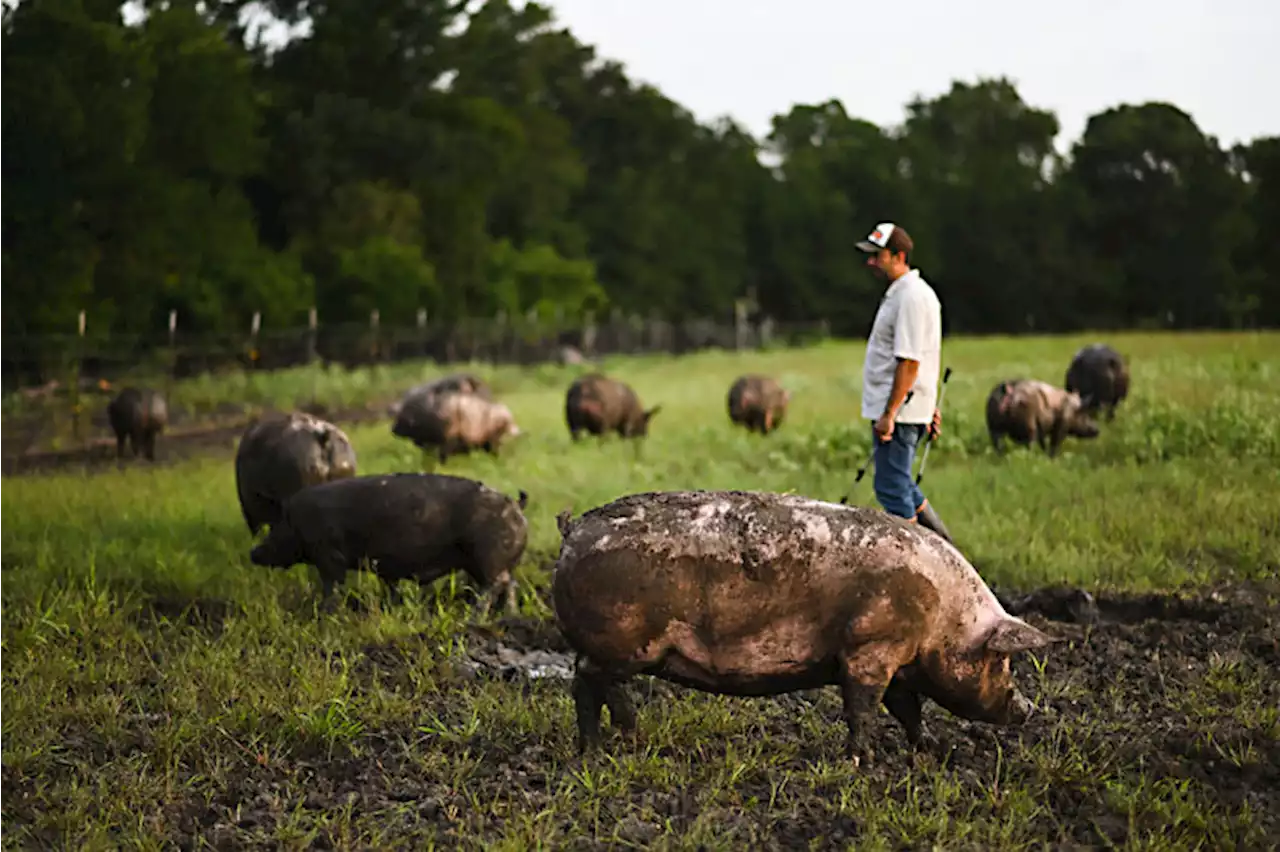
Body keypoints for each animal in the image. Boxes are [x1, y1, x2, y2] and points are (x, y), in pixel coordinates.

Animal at [247, 470, 527, 611]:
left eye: (276, 527)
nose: (253, 553)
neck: (299, 521)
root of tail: (515, 504)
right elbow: (389, 586)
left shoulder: (328, 554)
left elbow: (332, 585)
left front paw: (327, 612)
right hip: (483, 562)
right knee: (509, 585)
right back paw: (507, 616)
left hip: (487, 555)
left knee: (495, 585)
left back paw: (474, 616)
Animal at [552, 488, 1059, 757]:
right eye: (1002, 661)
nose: (1029, 708)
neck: (944, 618)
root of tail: (574, 529)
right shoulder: (871, 649)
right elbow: (864, 707)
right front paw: (862, 759)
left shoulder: (895, 661)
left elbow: (907, 708)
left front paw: (931, 748)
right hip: (620, 643)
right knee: (586, 680)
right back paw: (599, 749)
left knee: (603, 685)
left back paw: (625, 738)